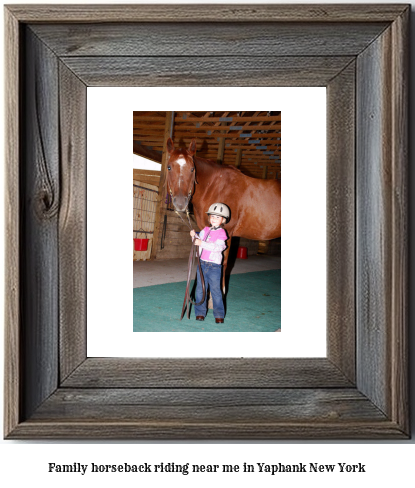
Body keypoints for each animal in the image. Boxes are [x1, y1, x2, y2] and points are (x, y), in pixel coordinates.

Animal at [167, 137, 282, 290]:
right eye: (169, 167)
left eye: (192, 169)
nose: (180, 203)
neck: (214, 187)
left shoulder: (227, 234)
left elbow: (222, 265)